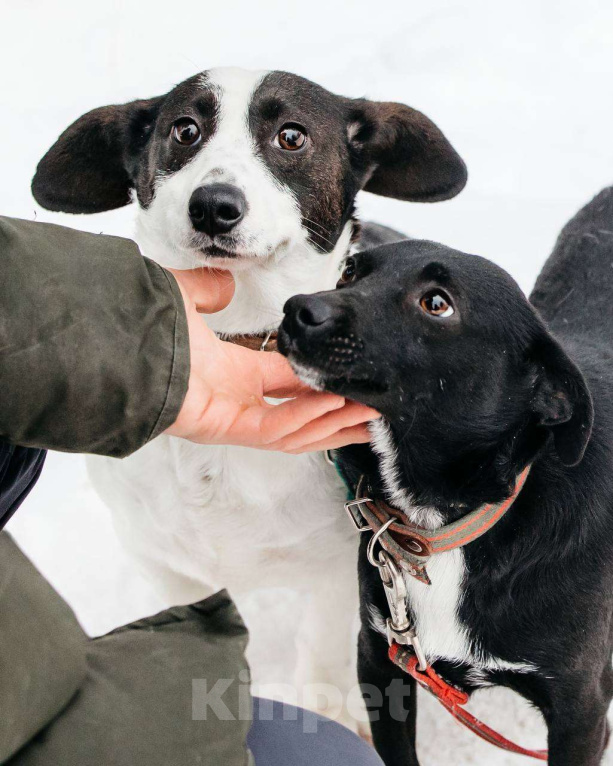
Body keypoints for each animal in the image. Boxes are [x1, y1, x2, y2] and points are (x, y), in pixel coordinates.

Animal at [32, 69, 464, 728]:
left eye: (291, 136)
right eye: (185, 129)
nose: (214, 205)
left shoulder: (343, 565)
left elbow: (322, 654)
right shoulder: (169, 568)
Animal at [278, 188, 613, 766]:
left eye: (437, 303)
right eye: (350, 271)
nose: (298, 309)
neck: (441, 526)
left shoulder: (581, 713)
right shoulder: (382, 664)